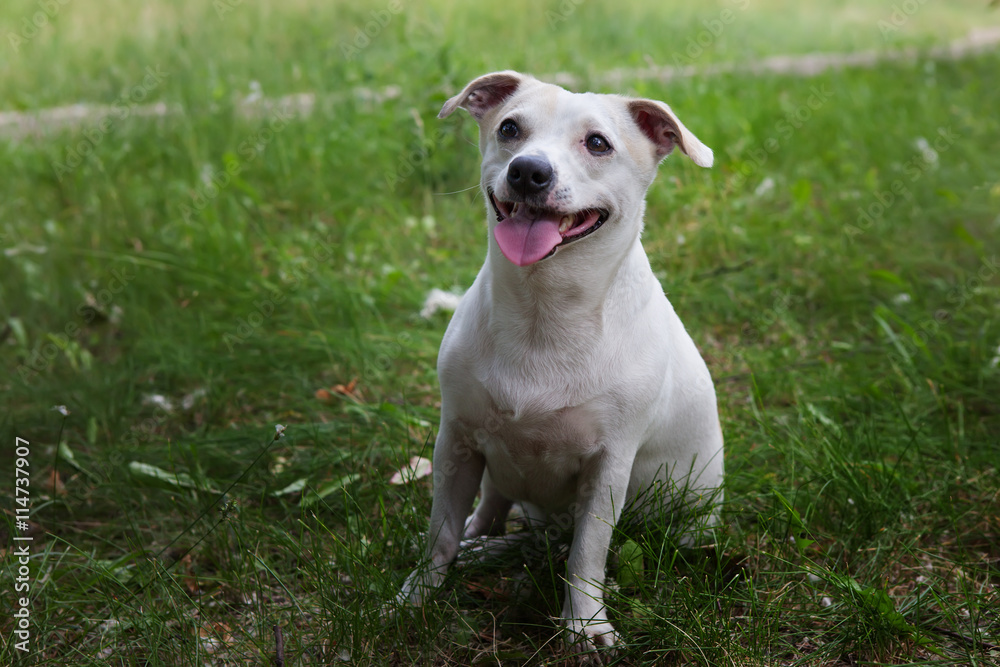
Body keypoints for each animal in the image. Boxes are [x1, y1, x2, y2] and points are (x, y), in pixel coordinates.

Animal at [400, 70, 728, 656]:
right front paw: (418, 595)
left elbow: (586, 556)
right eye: (509, 128)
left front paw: (585, 625)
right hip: (493, 469)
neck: (543, 310)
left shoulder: (606, 469)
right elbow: (441, 532)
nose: (528, 170)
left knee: (555, 545)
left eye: (598, 142)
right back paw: (483, 546)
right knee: (498, 516)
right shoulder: (456, 443)